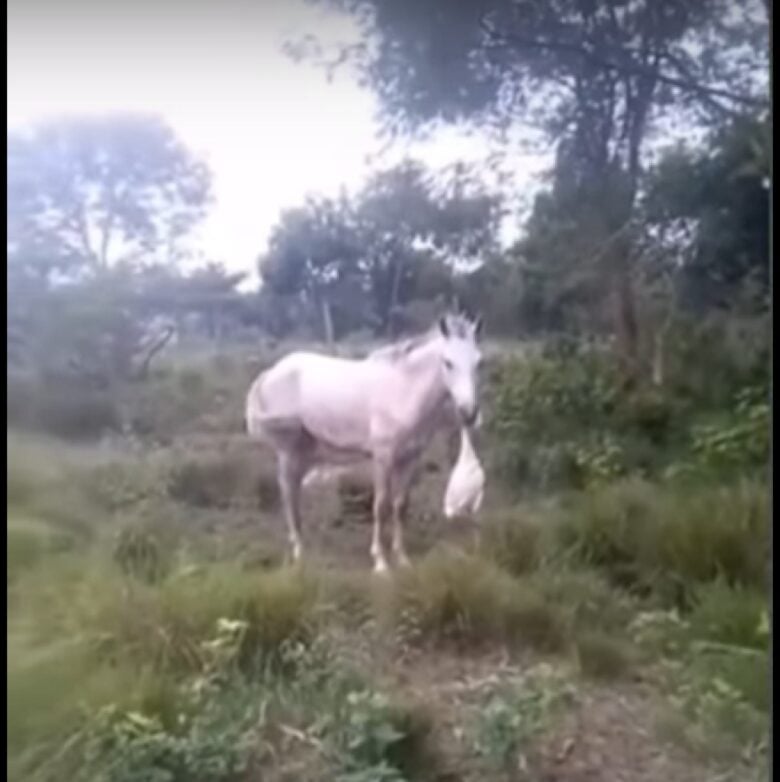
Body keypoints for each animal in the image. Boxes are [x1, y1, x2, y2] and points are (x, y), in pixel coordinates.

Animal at [247, 314, 484, 576]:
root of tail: (271, 372)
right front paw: (380, 563)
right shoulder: (383, 458)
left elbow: (400, 505)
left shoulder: (410, 459)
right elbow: (380, 506)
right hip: (288, 452)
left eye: (479, 362)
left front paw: (402, 559)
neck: (402, 390)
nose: (469, 413)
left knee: (294, 493)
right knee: (289, 495)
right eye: (448, 362)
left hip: (302, 452)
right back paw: (300, 552)